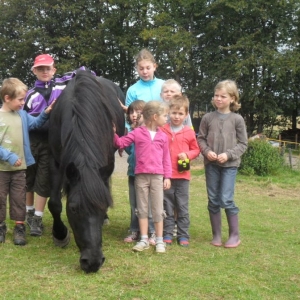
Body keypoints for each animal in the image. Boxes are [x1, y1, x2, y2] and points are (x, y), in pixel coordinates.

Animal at [47, 70, 124, 272]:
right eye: (73, 209)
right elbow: (54, 203)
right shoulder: (56, 161)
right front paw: (60, 234)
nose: (93, 262)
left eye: (103, 206)